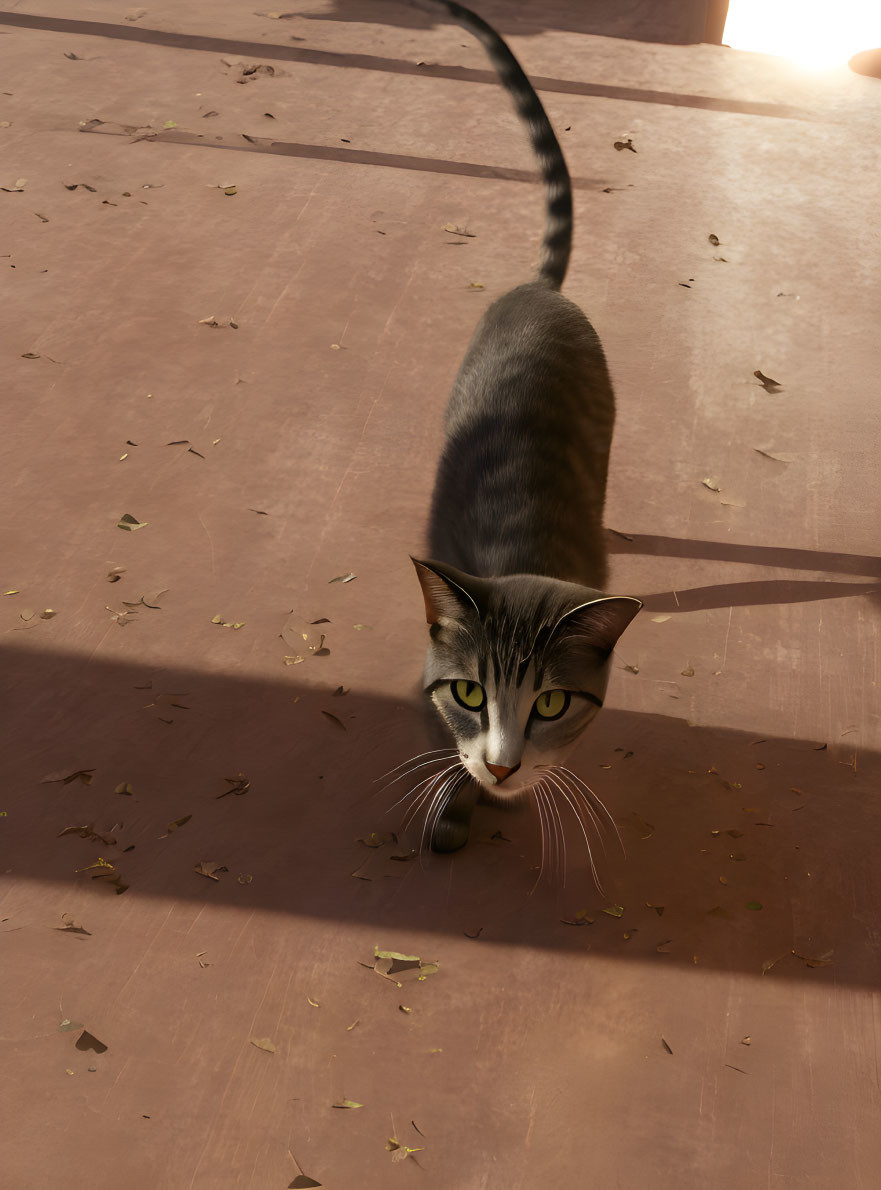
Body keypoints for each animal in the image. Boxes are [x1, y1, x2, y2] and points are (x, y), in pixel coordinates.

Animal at [400, 0, 638, 861]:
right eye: (470, 691)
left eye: (551, 705)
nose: (503, 768)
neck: (521, 551)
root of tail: (540, 291)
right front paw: (461, 799)